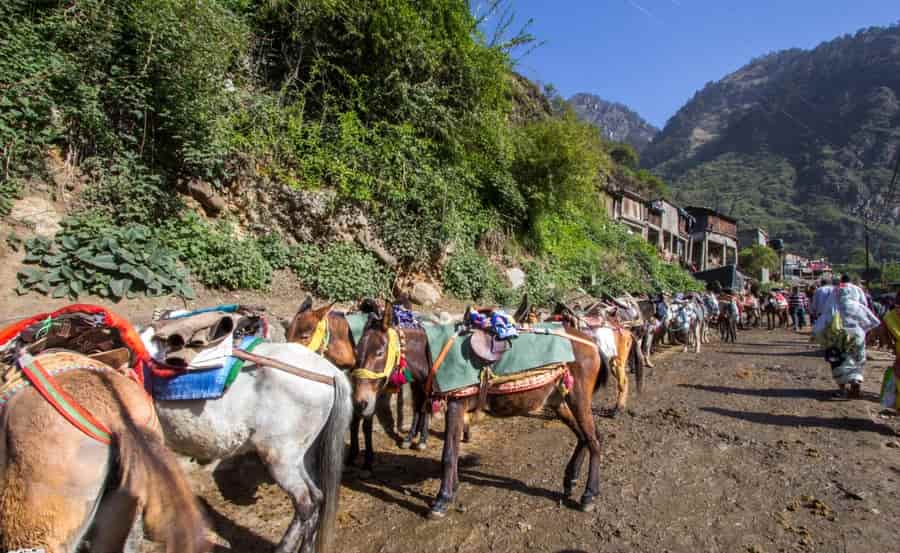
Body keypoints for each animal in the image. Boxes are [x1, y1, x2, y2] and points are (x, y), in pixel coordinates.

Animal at [354, 304, 604, 516]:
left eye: (379, 352)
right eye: (357, 351)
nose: (361, 402)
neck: (431, 354)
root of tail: (590, 342)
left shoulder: (456, 405)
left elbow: (448, 454)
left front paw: (442, 500)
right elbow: (453, 452)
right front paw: (452, 490)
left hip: (578, 398)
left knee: (594, 441)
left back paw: (588, 495)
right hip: (559, 401)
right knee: (584, 436)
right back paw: (570, 480)